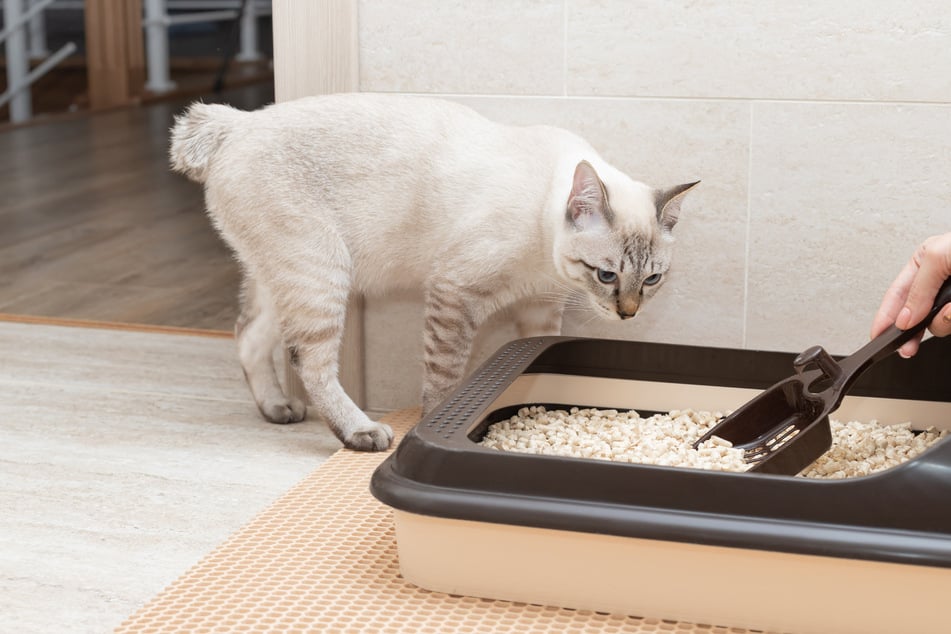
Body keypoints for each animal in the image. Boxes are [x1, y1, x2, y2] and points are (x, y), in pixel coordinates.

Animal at [167, 92, 696, 450]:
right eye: (607, 276)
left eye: (651, 280)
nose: (628, 314)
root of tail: (236, 123)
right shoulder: (455, 293)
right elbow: (445, 379)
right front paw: (438, 421)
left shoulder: (538, 310)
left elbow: (537, 358)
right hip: (320, 271)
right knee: (308, 360)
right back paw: (360, 431)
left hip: (279, 276)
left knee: (247, 336)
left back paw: (276, 408)